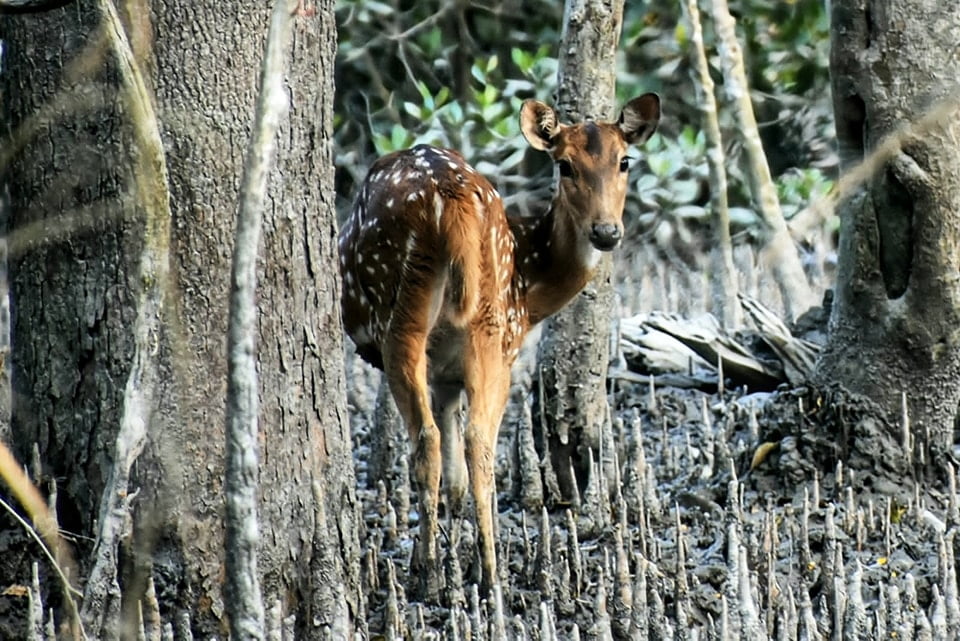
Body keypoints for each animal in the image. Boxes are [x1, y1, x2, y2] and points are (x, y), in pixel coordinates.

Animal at [338, 94, 660, 596]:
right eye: (564, 165)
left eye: (624, 161)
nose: (606, 231)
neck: (531, 289)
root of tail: (448, 199)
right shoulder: (481, 353)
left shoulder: (451, 371)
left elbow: (453, 478)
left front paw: (450, 551)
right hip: (481, 327)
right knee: (468, 442)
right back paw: (475, 572)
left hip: (433, 318)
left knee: (443, 441)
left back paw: (445, 572)